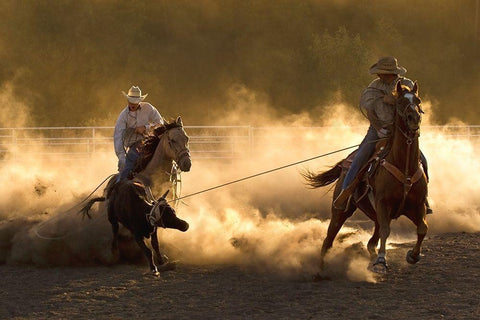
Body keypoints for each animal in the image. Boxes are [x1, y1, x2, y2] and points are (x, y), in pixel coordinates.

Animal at [304, 82, 428, 272]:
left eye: (418, 100)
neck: (404, 165)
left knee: (371, 241)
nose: (414, 118)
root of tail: (347, 162)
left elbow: (422, 228)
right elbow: (386, 231)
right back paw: (321, 271)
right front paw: (381, 261)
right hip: (341, 211)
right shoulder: (383, 204)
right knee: (328, 240)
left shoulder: (417, 205)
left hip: (375, 213)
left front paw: (413, 256)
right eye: (399, 102)